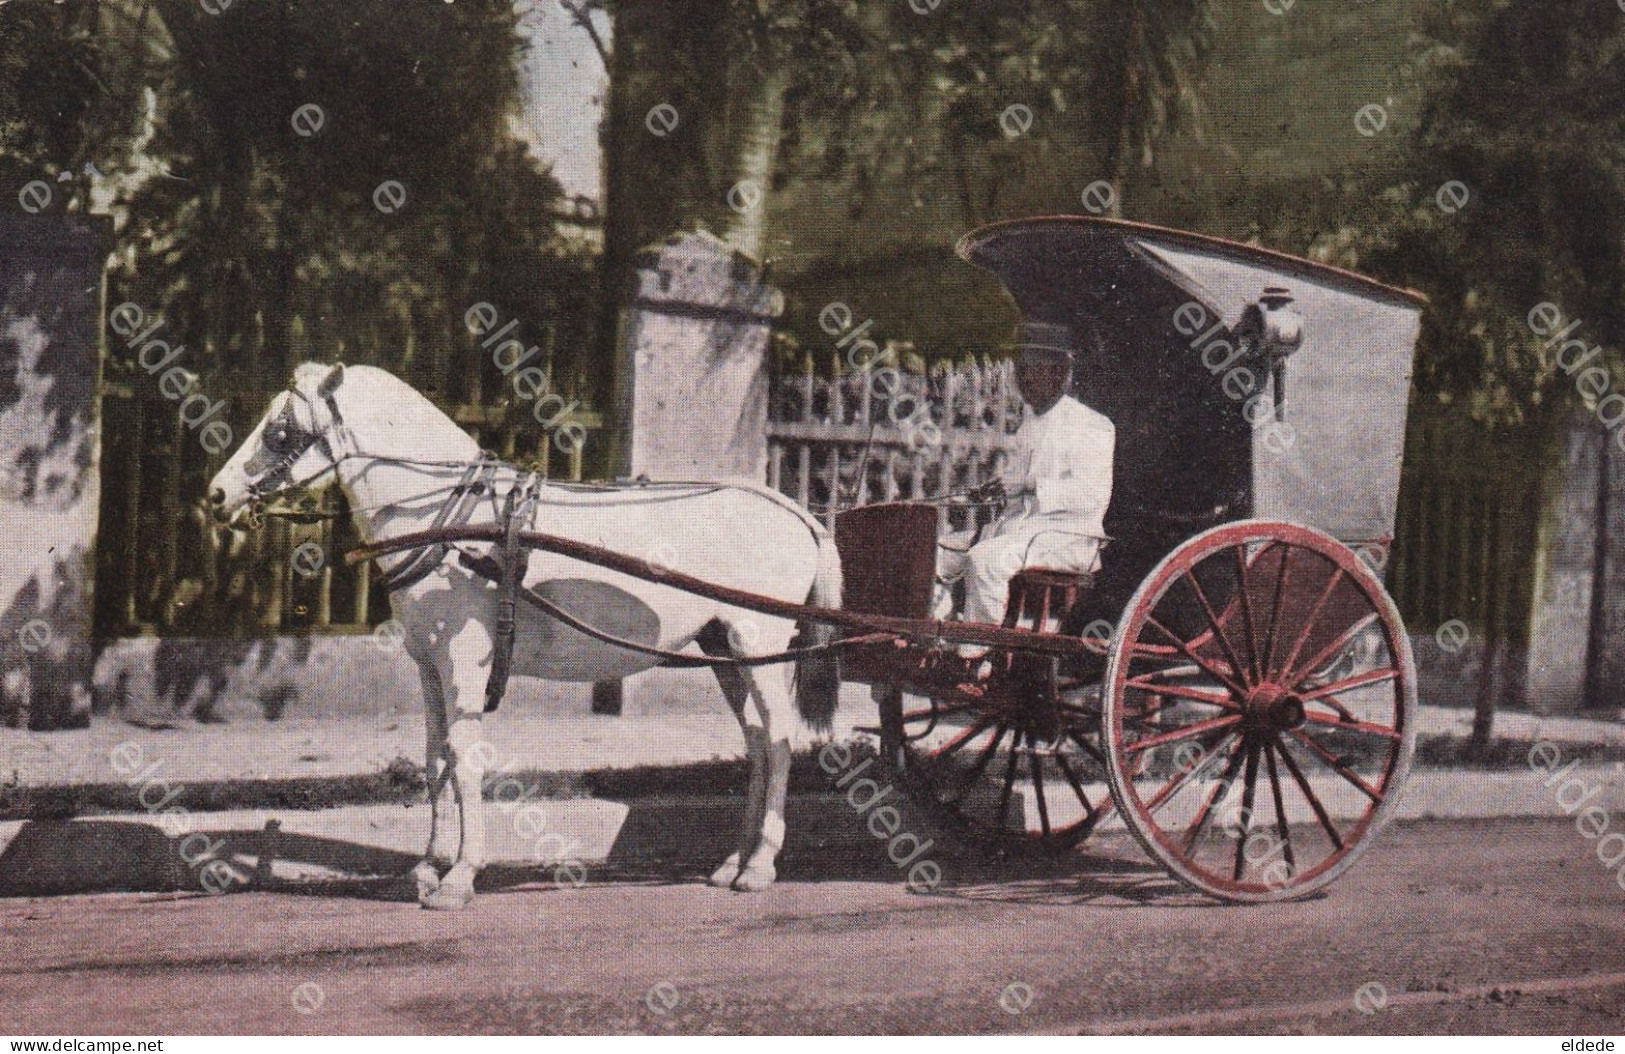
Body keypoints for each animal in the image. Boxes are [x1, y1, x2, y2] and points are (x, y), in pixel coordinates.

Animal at [206, 362, 838, 902]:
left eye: (281, 431)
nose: (215, 495)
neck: (452, 517)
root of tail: (794, 509)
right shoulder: (428, 663)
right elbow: (434, 759)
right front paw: (427, 868)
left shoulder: (463, 660)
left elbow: (465, 759)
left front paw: (460, 875)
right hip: (725, 652)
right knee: (757, 741)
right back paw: (734, 861)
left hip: (759, 642)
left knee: (779, 741)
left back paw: (760, 866)